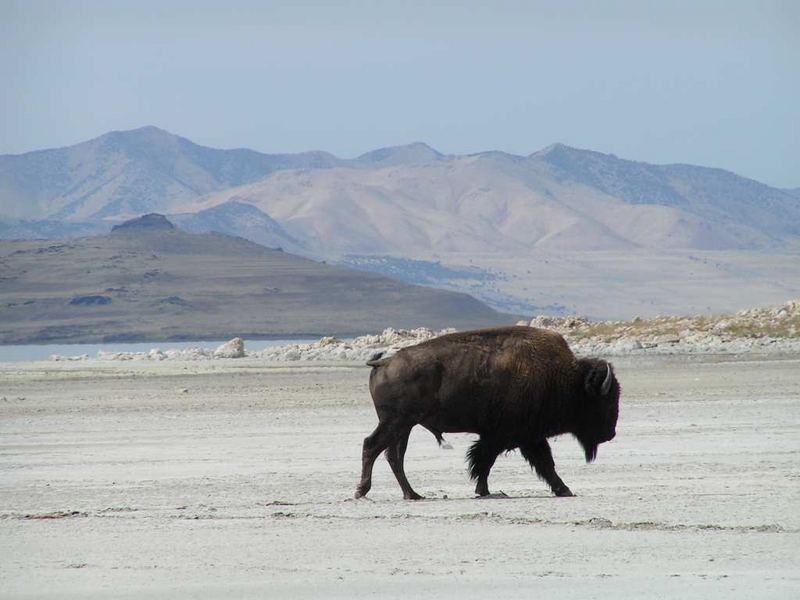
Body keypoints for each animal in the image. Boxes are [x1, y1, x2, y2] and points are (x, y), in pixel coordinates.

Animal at [354, 326, 620, 500]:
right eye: (606, 402)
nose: (611, 434)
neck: (565, 379)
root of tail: (384, 362)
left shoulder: (525, 437)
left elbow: (538, 463)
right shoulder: (509, 436)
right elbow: (491, 461)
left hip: (404, 426)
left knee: (393, 456)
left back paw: (413, 494)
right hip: (396, 422)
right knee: (372, 446)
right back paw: (362, 491)